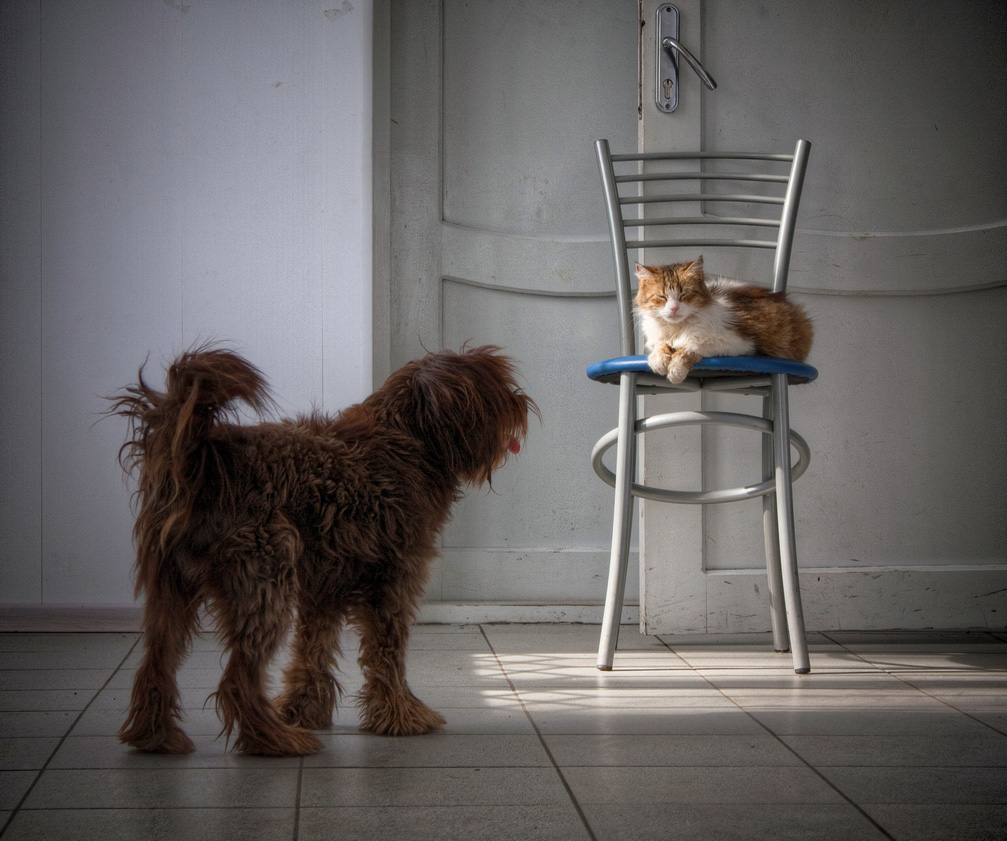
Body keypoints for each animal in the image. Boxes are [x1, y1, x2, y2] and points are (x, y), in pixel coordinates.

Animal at [111, 342, 539, 757]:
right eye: (498, 386)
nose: (522, 401)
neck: (407, 440)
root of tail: (204, 457)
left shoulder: (324, 589)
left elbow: (312, 652)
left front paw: (303, 710)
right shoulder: (393, 582)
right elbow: (387, 655)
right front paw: (401, 715)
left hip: (171, 593)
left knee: (155, 666)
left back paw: (156, 737)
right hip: (264, 581)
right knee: (237, 678)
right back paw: (273, 740)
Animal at [632, 257, 813, 386]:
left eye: (685, 294)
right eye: (661, 296)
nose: (674, 309)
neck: (675, 329)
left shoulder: (740, 344)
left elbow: (690, 347)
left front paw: (675, 371)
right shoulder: (655, 339)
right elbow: (660, 345)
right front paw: (659, 362)